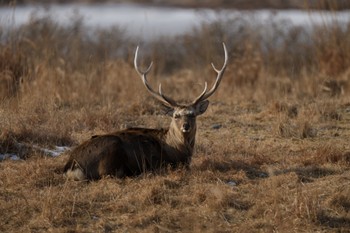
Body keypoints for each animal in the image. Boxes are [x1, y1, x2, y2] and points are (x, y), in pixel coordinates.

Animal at [63, 42, 228, 181]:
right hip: (110, 151)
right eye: (176, 116)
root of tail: (71, 165)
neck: (178, 151)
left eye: (192, 115)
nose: (185, 126)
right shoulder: (163, 163)